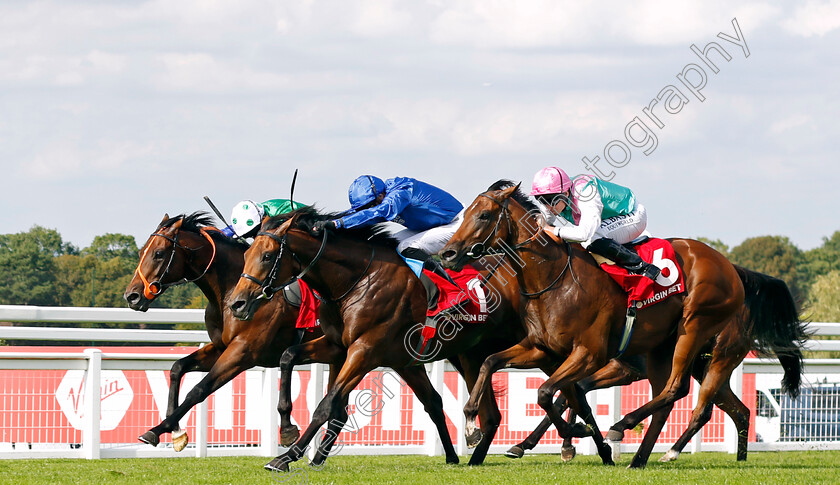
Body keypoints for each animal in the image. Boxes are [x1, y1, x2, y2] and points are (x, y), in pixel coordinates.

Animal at [123, 214, 326, 452]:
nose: (132, 296)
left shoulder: (243, 352)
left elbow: (199, 389)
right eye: (140, 252)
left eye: (158, 253)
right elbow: (177, 368)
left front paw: (157, 430)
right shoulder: (221, 347)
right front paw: (175, 431)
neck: (230, 291)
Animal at [228, 207, 616, 468]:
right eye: (246, 254)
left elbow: (328, 403)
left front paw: (287, 456)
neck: (356, 278)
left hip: (548, 349)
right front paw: (288, 430)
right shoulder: (344, 347)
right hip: (473, 355)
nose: (237, 303)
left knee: (571, 393)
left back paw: (590, 445)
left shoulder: (365, 349)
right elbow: (288, 357)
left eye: (267, 255)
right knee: (499, 413)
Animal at [436, 181, 804, 466]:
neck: (555, 280)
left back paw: (629, 430)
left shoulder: (590, 354)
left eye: (484, 215)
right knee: (702, 402)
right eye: (465, 214)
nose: (449, 254)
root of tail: (732, 267)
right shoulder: (541, 349)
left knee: (679, 391)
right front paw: (470, 422)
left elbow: (547, 393)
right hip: (670, 353)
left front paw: (575, 436)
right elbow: (491, 363)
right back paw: (642, 457)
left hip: (697, 330)